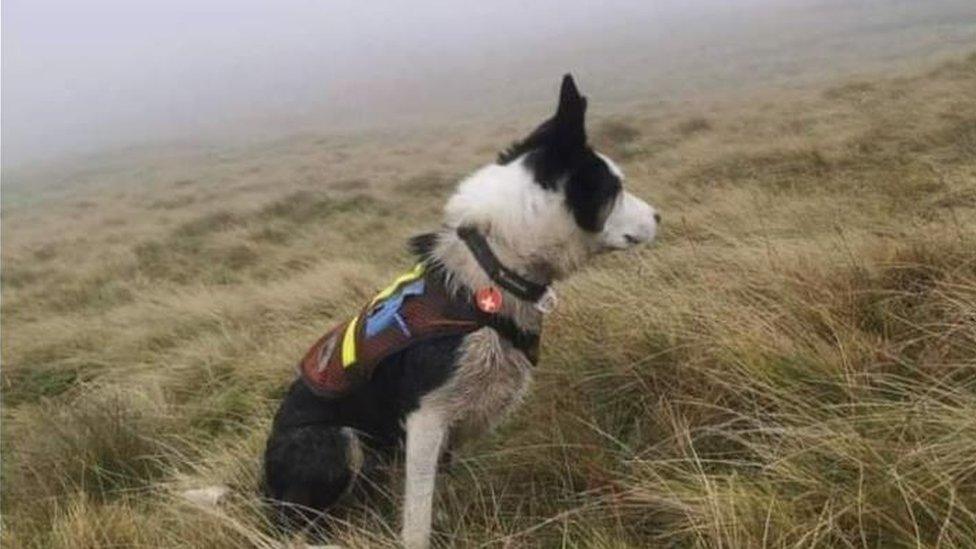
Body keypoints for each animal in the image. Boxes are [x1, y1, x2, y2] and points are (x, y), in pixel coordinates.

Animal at [262, 74, 656, 548]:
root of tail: (263, 488)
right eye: (615, 189)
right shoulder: (426, 418)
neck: (492, 265)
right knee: (301, 521)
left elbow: (439, 491)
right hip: (334, 441)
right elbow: (418, 515)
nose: (659, 215)